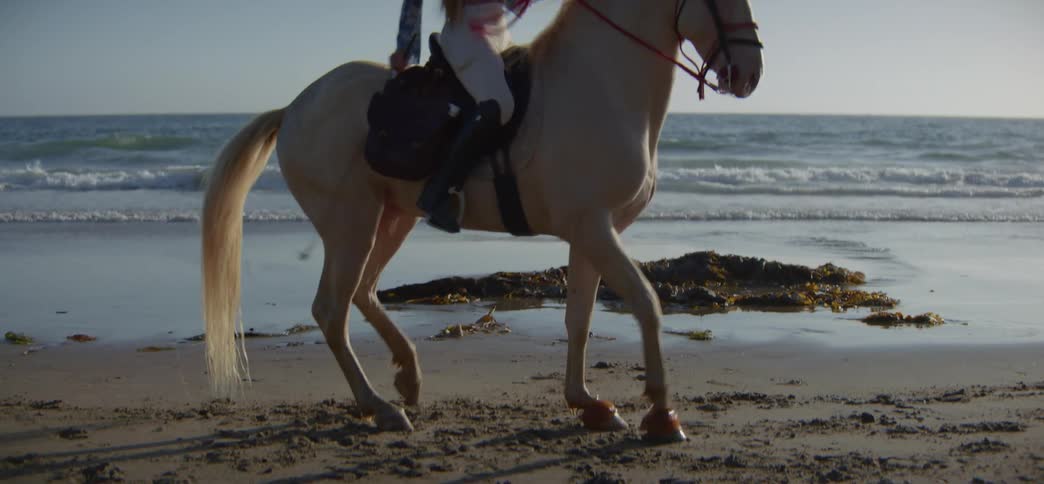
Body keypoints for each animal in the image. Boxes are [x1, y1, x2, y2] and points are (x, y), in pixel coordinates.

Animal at [201, 0, 763, 442]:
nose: (751, 72)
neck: (598, 85)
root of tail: (295, 107)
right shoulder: (595, 228)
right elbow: (646, 303)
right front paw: (662, 413)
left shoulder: (591, 233)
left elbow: (578, 318)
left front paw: (588, 404)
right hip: (350, 223)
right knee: (332, 309)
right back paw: (379, 407)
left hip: (392, 218)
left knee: (362, 292)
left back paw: (407, 378)